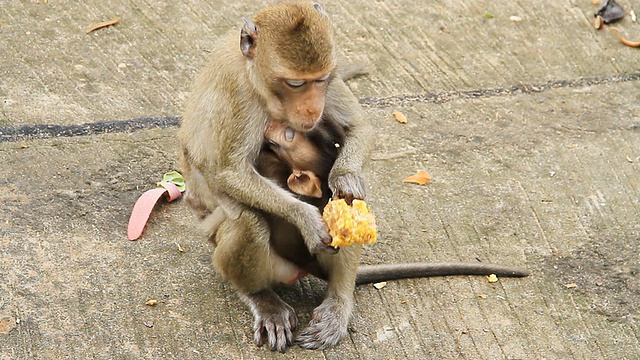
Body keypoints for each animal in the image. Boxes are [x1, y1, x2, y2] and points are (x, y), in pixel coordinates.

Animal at [178, 0, 528, 352]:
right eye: (295, 83)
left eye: (318, 80)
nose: (311, 109)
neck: (258, 78)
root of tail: (301, 268)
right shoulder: (238, 95)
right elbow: (229, 171)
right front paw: (307, 219)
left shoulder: (332, 80)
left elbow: (358, 130)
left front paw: (346, 178)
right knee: (247, 220)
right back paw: (262, 297)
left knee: (343, 199)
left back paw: (339, 300)